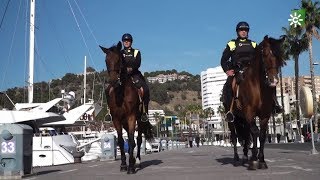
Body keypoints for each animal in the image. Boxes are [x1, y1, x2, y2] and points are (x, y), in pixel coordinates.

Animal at [100, 41, 154, 174]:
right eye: (106, 60)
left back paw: (137, 161)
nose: (114, 81)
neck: (121, 93)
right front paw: (124, 165)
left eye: (119, 59)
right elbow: (120, 141)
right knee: (132, 142)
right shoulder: (116, 119)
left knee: (138, 140)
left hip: (140, 119)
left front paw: (131, 167)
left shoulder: (131, 117)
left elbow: (130, 140)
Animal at [224, 35, 286, 170]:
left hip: (244, 118)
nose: (274, 81)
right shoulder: (249, 112)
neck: (257, 85)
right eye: (266, 54)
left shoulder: (264, 115)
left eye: (279, 57)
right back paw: (237, 158)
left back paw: (245, 156)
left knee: (247, 135)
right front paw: (254, 159)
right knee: (235, 136)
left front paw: (261, 160)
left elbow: (261, 135)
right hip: (233, 118)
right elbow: (255, 132)